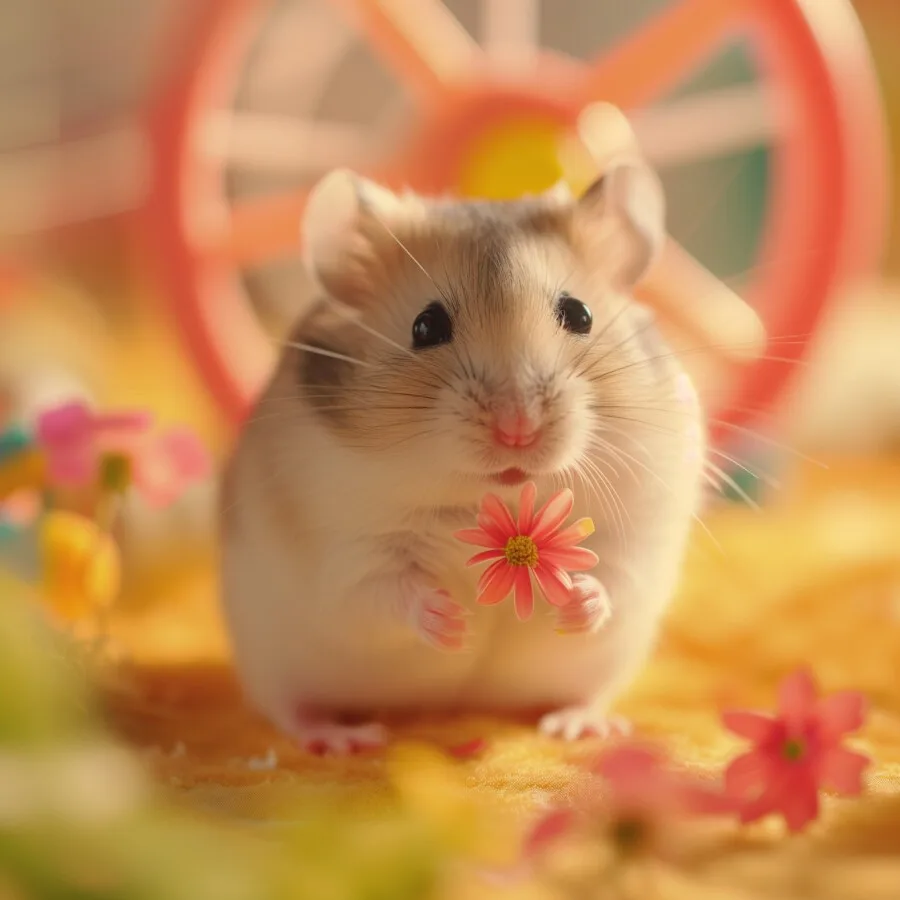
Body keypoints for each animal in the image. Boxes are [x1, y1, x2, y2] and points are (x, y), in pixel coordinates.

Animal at [219, 163, 707, 754]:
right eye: (425, 326)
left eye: (580, 314)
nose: (518, 428)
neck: (490, 496)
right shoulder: (346, 547)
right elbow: (382, 589)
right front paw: (455, 623)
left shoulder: (637, 525)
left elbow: (613, 574)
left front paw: (573, 602)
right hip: (272, 659)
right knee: (290, 710)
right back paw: (341, 737)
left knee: (589, 692)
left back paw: (578, 726)